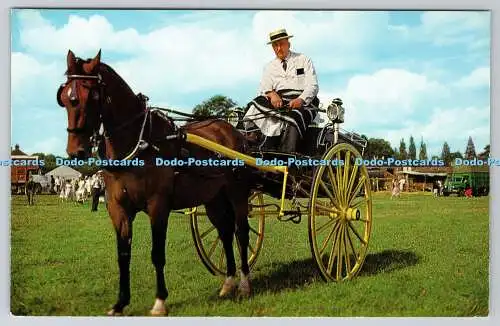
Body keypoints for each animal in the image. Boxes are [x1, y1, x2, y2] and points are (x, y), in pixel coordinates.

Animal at [56, 49, 256, 316]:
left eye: (91, 96)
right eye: (65, 98)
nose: (76, 151)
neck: (139, 143)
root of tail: (234, 132)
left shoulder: (157, 206)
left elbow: (157, 254)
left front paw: (160, 301)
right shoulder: (118, 208)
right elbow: (123, 254)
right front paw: (120, 303)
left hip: (237, 192)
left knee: (241, 232)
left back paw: (244, 283)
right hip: (214, 198)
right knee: (224, 232)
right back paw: (229, 282)